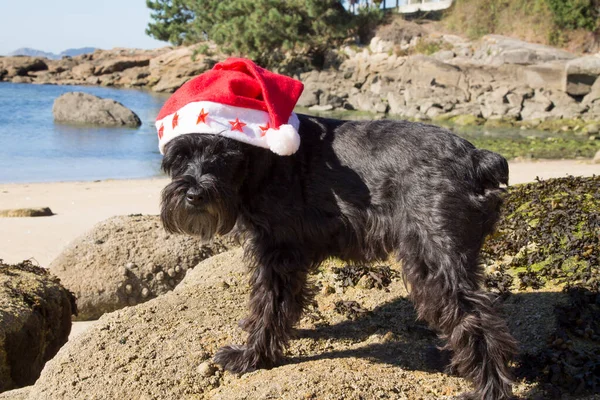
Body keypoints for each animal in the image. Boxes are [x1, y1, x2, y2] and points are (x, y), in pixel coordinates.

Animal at [162, 114, 516, 398]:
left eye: (223, 155)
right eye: (178, 157)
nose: (195, 195)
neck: (261, 159)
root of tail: (477, 158)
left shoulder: (277, 251)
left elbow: (269, 306)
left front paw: (252, 356)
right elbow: (282, 304)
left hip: (434, 257)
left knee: (476, 319)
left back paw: (488, 387)